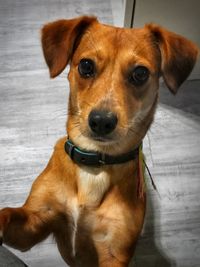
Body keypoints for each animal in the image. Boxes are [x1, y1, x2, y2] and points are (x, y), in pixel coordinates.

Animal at [0, 16, 197, 267]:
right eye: (85, 66)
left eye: (141, 73)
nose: (102, 121)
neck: (94, 165)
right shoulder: (35, 222)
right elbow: (6, 213)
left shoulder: (114, 251)